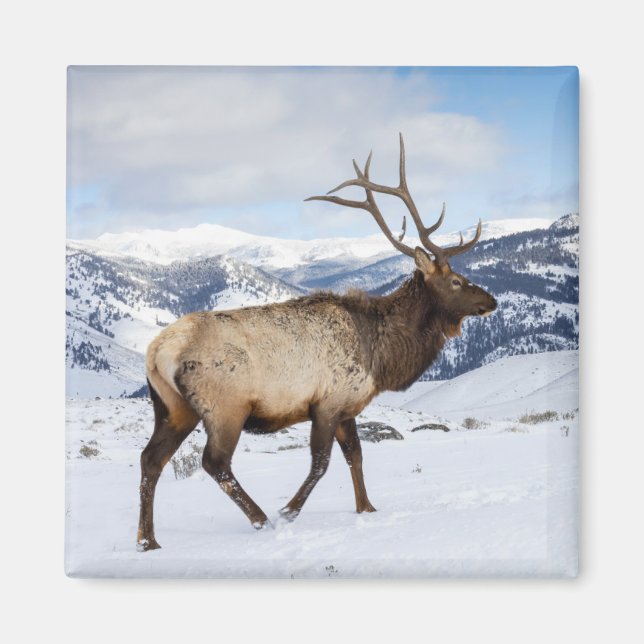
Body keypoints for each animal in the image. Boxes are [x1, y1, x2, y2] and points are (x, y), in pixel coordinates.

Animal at [137, 134, 497, 551]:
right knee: (214, 462)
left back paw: (147, 540)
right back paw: (261, 518)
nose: (492, 301)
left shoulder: (347, 406)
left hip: (172, 407)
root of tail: (157, 351)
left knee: (151, 459)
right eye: (456, 281)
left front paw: (367, 508)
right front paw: (289, 511)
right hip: (225, 406)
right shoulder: (326, 402)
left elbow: (356, 455)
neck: (381, 355)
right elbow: (322, 463)